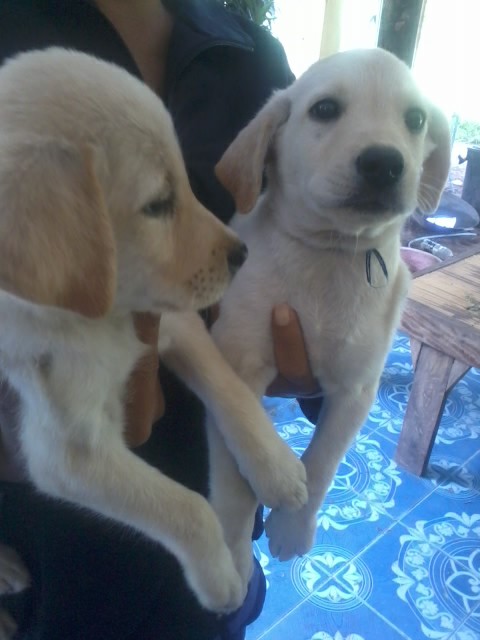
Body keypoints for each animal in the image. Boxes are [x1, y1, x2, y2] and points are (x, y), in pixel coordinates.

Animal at [202, 47, 451, 581]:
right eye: (325, 110)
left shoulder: (356, 387)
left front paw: (292, 528)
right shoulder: (238, 367)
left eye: (416, 120)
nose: (384, 162)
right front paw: (234, 551)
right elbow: (237, 471)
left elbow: (323, 462)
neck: (330, 255)